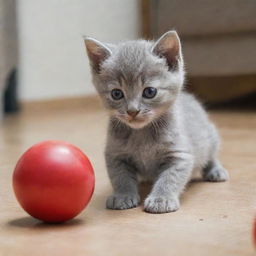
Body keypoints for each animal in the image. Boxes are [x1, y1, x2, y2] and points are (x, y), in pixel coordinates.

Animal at [83, 31, 228, 213]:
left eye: (150, 92)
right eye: (116, 94)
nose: (132, 111)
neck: (141, 133)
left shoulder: (180, 155)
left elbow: (170, 178)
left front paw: (161, 199)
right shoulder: (115, 155)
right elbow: (119, 177)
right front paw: (123, 195)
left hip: (210, 134)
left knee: (211, 155)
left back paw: (215, 170)